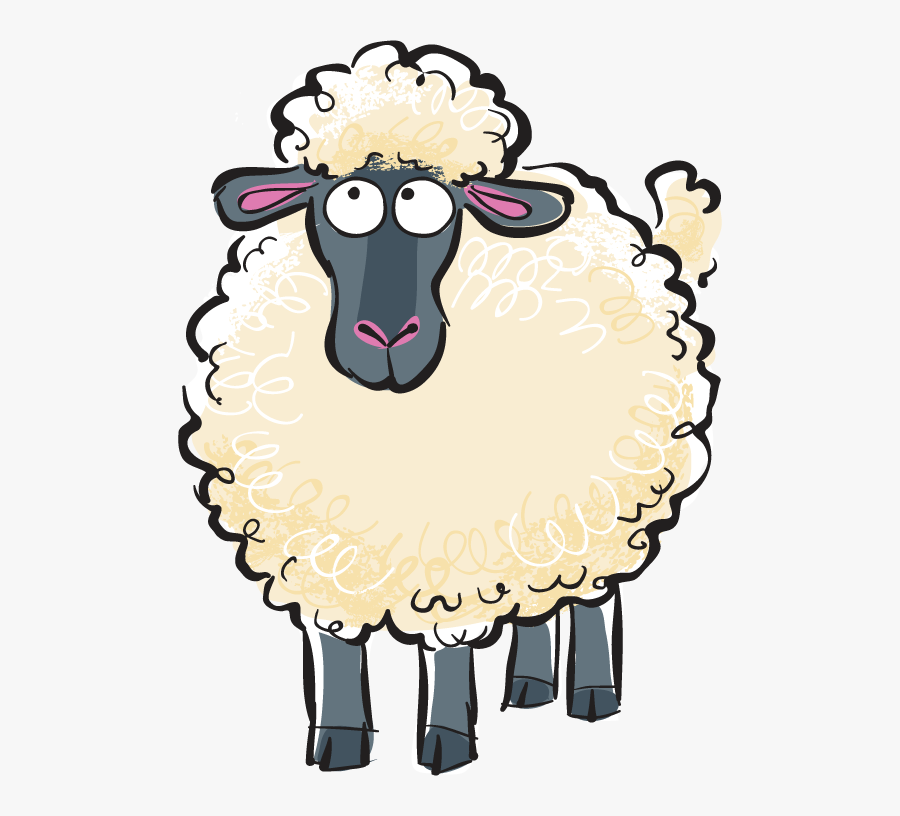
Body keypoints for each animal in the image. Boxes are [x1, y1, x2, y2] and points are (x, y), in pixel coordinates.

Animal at [180, 40, 721, 774]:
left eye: (437, 209)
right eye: (343, 201)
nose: (385, 338)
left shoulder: (459, 545)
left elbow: (449, 644)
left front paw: (446, 744)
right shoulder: (313, 536)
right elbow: (334, 641)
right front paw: (339, 744)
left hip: (607, 497)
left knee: (590, 594)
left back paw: (589, 694)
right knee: (540, 597)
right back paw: (529, 686)